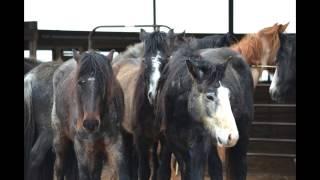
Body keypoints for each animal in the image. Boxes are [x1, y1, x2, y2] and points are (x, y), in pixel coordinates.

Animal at [51, 49, 129, 180]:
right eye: (79, 82)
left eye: (104, 82)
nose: (90, 123)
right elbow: (84, 174)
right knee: (59, 168)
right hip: (60, 140)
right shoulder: (81, 145)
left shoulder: (114, 143)